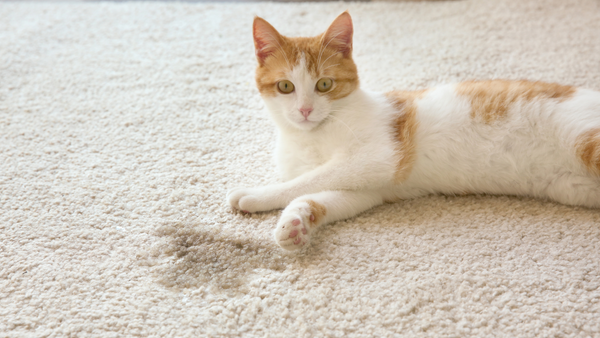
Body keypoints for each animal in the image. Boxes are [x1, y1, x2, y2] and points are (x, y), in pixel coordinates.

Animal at [227, 11, 600, 250]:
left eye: (324, 84)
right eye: (286, 86)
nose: (305, 110)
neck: (310, 136)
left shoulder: (379, 157)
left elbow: (306, 181)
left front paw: (256, 195)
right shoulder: (367, 189)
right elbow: (319, 195)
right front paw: (296, 224)